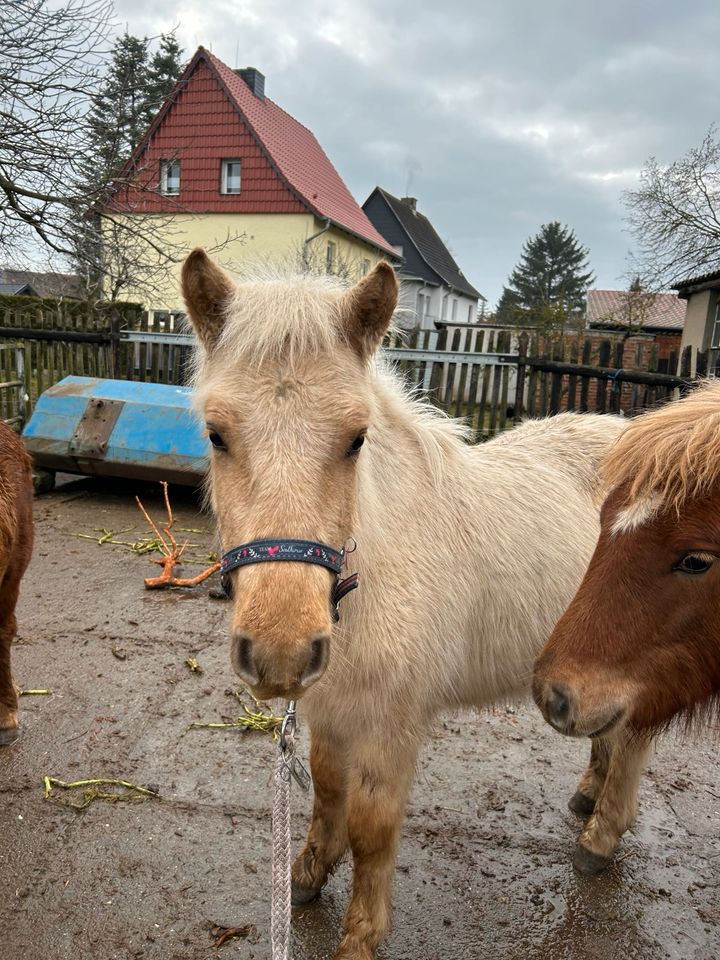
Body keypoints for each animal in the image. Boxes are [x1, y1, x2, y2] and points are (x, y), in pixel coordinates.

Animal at [183, 253, 644, 960]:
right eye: (216, 434)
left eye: (356, 438)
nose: (281, 650)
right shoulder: (331, 708)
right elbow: (327, 790)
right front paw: (306, 876)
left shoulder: (392, 725)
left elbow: (371, 828)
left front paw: (359, 936)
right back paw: (589, 797)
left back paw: (599, 838)